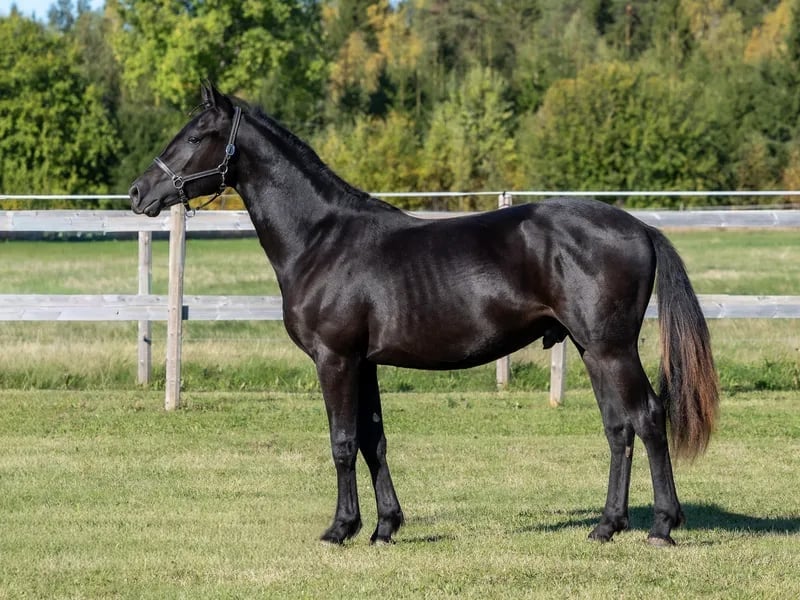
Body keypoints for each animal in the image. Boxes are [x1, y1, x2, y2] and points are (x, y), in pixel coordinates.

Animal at [129, 83, 719, 547]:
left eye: (193, 137)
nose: (138, 193)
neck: (322, 239)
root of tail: (640, 228)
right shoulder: (364, 363)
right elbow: (372, 441)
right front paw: (385, 527)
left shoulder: (335, 360)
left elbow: (342, 443)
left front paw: (340, 529)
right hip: (591, 349)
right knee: (618, 427)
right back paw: (606, 525)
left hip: (609, 349)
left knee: (647, 418)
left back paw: (661, 526)